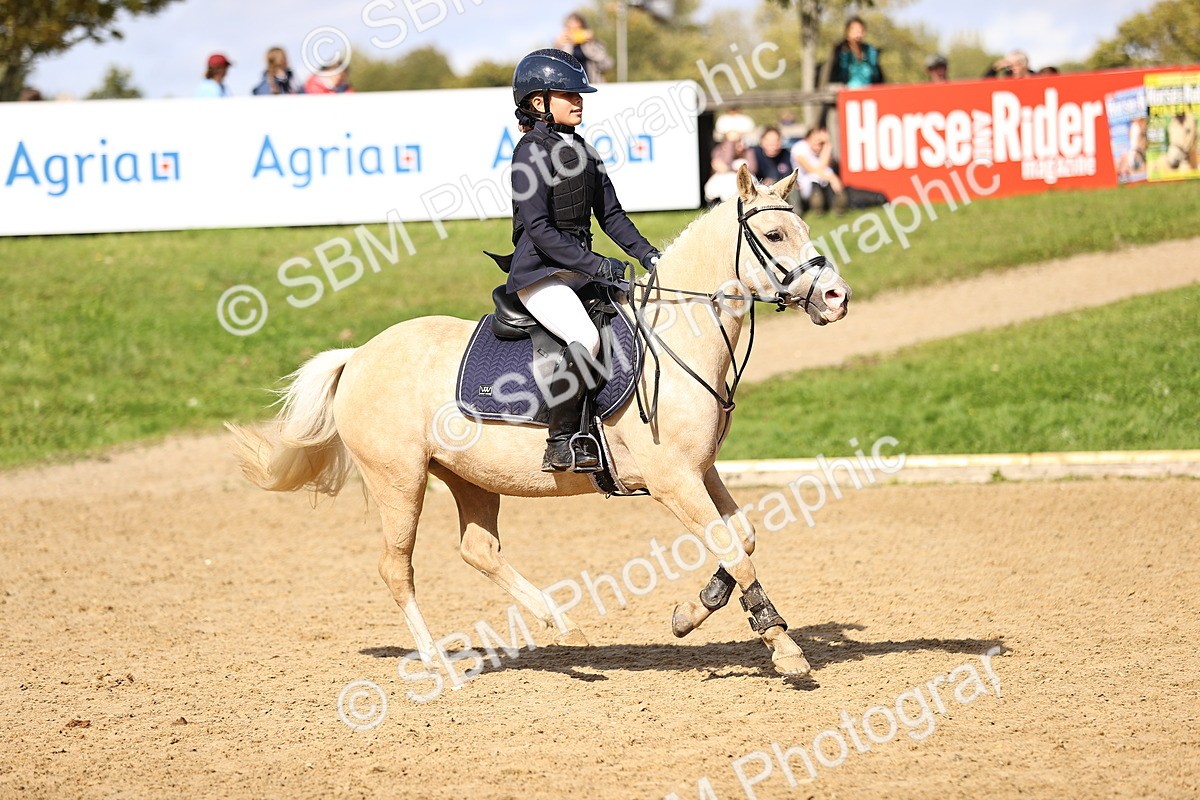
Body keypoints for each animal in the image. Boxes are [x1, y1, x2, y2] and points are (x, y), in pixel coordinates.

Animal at [227, 165, 851, 677]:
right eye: (775, 236)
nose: (836, 297)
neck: (677, 337)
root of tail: (357, 355)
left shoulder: (701, 471)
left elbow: (740, 540)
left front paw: (689, 614)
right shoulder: (673, 480)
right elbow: (733, 550)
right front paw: (783, 646)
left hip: (469, 479)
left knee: (478, 551)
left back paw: (563, 626)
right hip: (398, 481)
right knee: (395, 567)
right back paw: (436, 661)